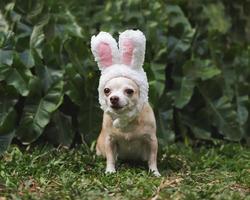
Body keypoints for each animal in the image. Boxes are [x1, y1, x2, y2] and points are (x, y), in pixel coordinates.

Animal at [91, 28, 159, 176]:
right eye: (106, 90)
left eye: (129, 91)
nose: (114, 98)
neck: (127, 120)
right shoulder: (110, 141)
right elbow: (110, 158)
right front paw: (110, 171)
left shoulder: (152, 141)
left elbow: (152, 158)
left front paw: (154, 172)